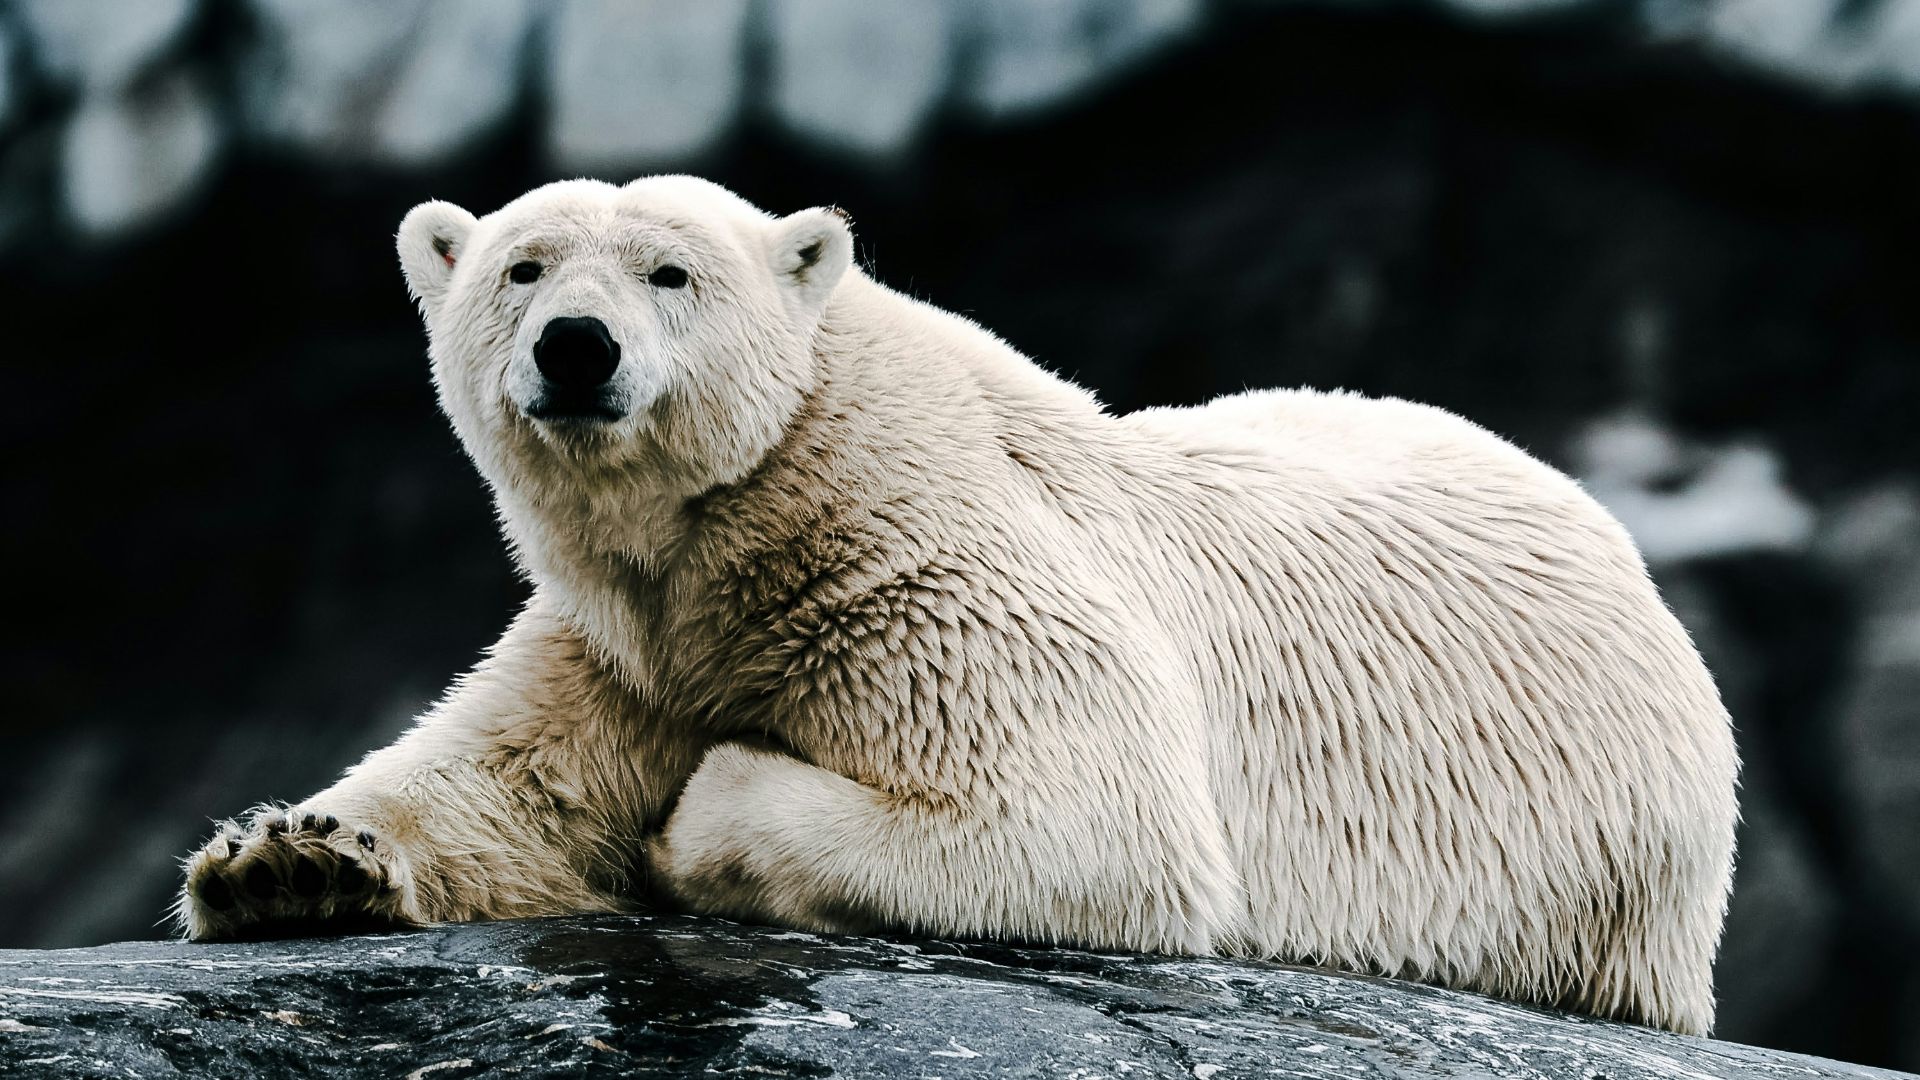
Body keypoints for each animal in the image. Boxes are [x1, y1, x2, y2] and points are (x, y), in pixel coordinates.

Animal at [177, 175, 1739, 1036]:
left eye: (670, 271)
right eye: (522, 265)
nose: (575, 347)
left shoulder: (925, 569)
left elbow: (1088, 822)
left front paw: (694, 816)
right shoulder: (625, 640)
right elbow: (504, 782)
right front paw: (288, 864)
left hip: (1597, 870)